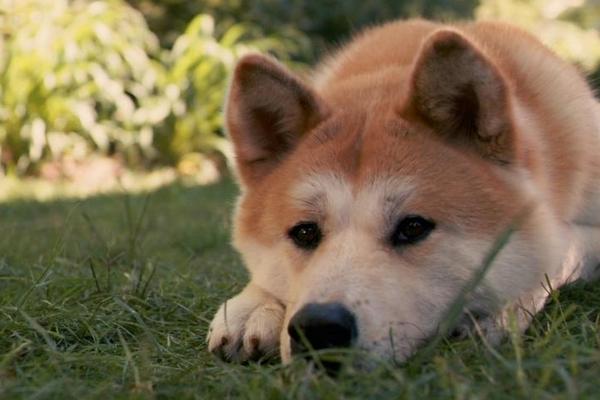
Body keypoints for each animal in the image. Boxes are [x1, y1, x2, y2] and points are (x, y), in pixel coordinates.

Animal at [206, 20, 600, 368]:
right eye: (304, 232)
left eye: (413, 227)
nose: (319, 328)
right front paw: (253, 307)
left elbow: (557, 254)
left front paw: (500, 310)